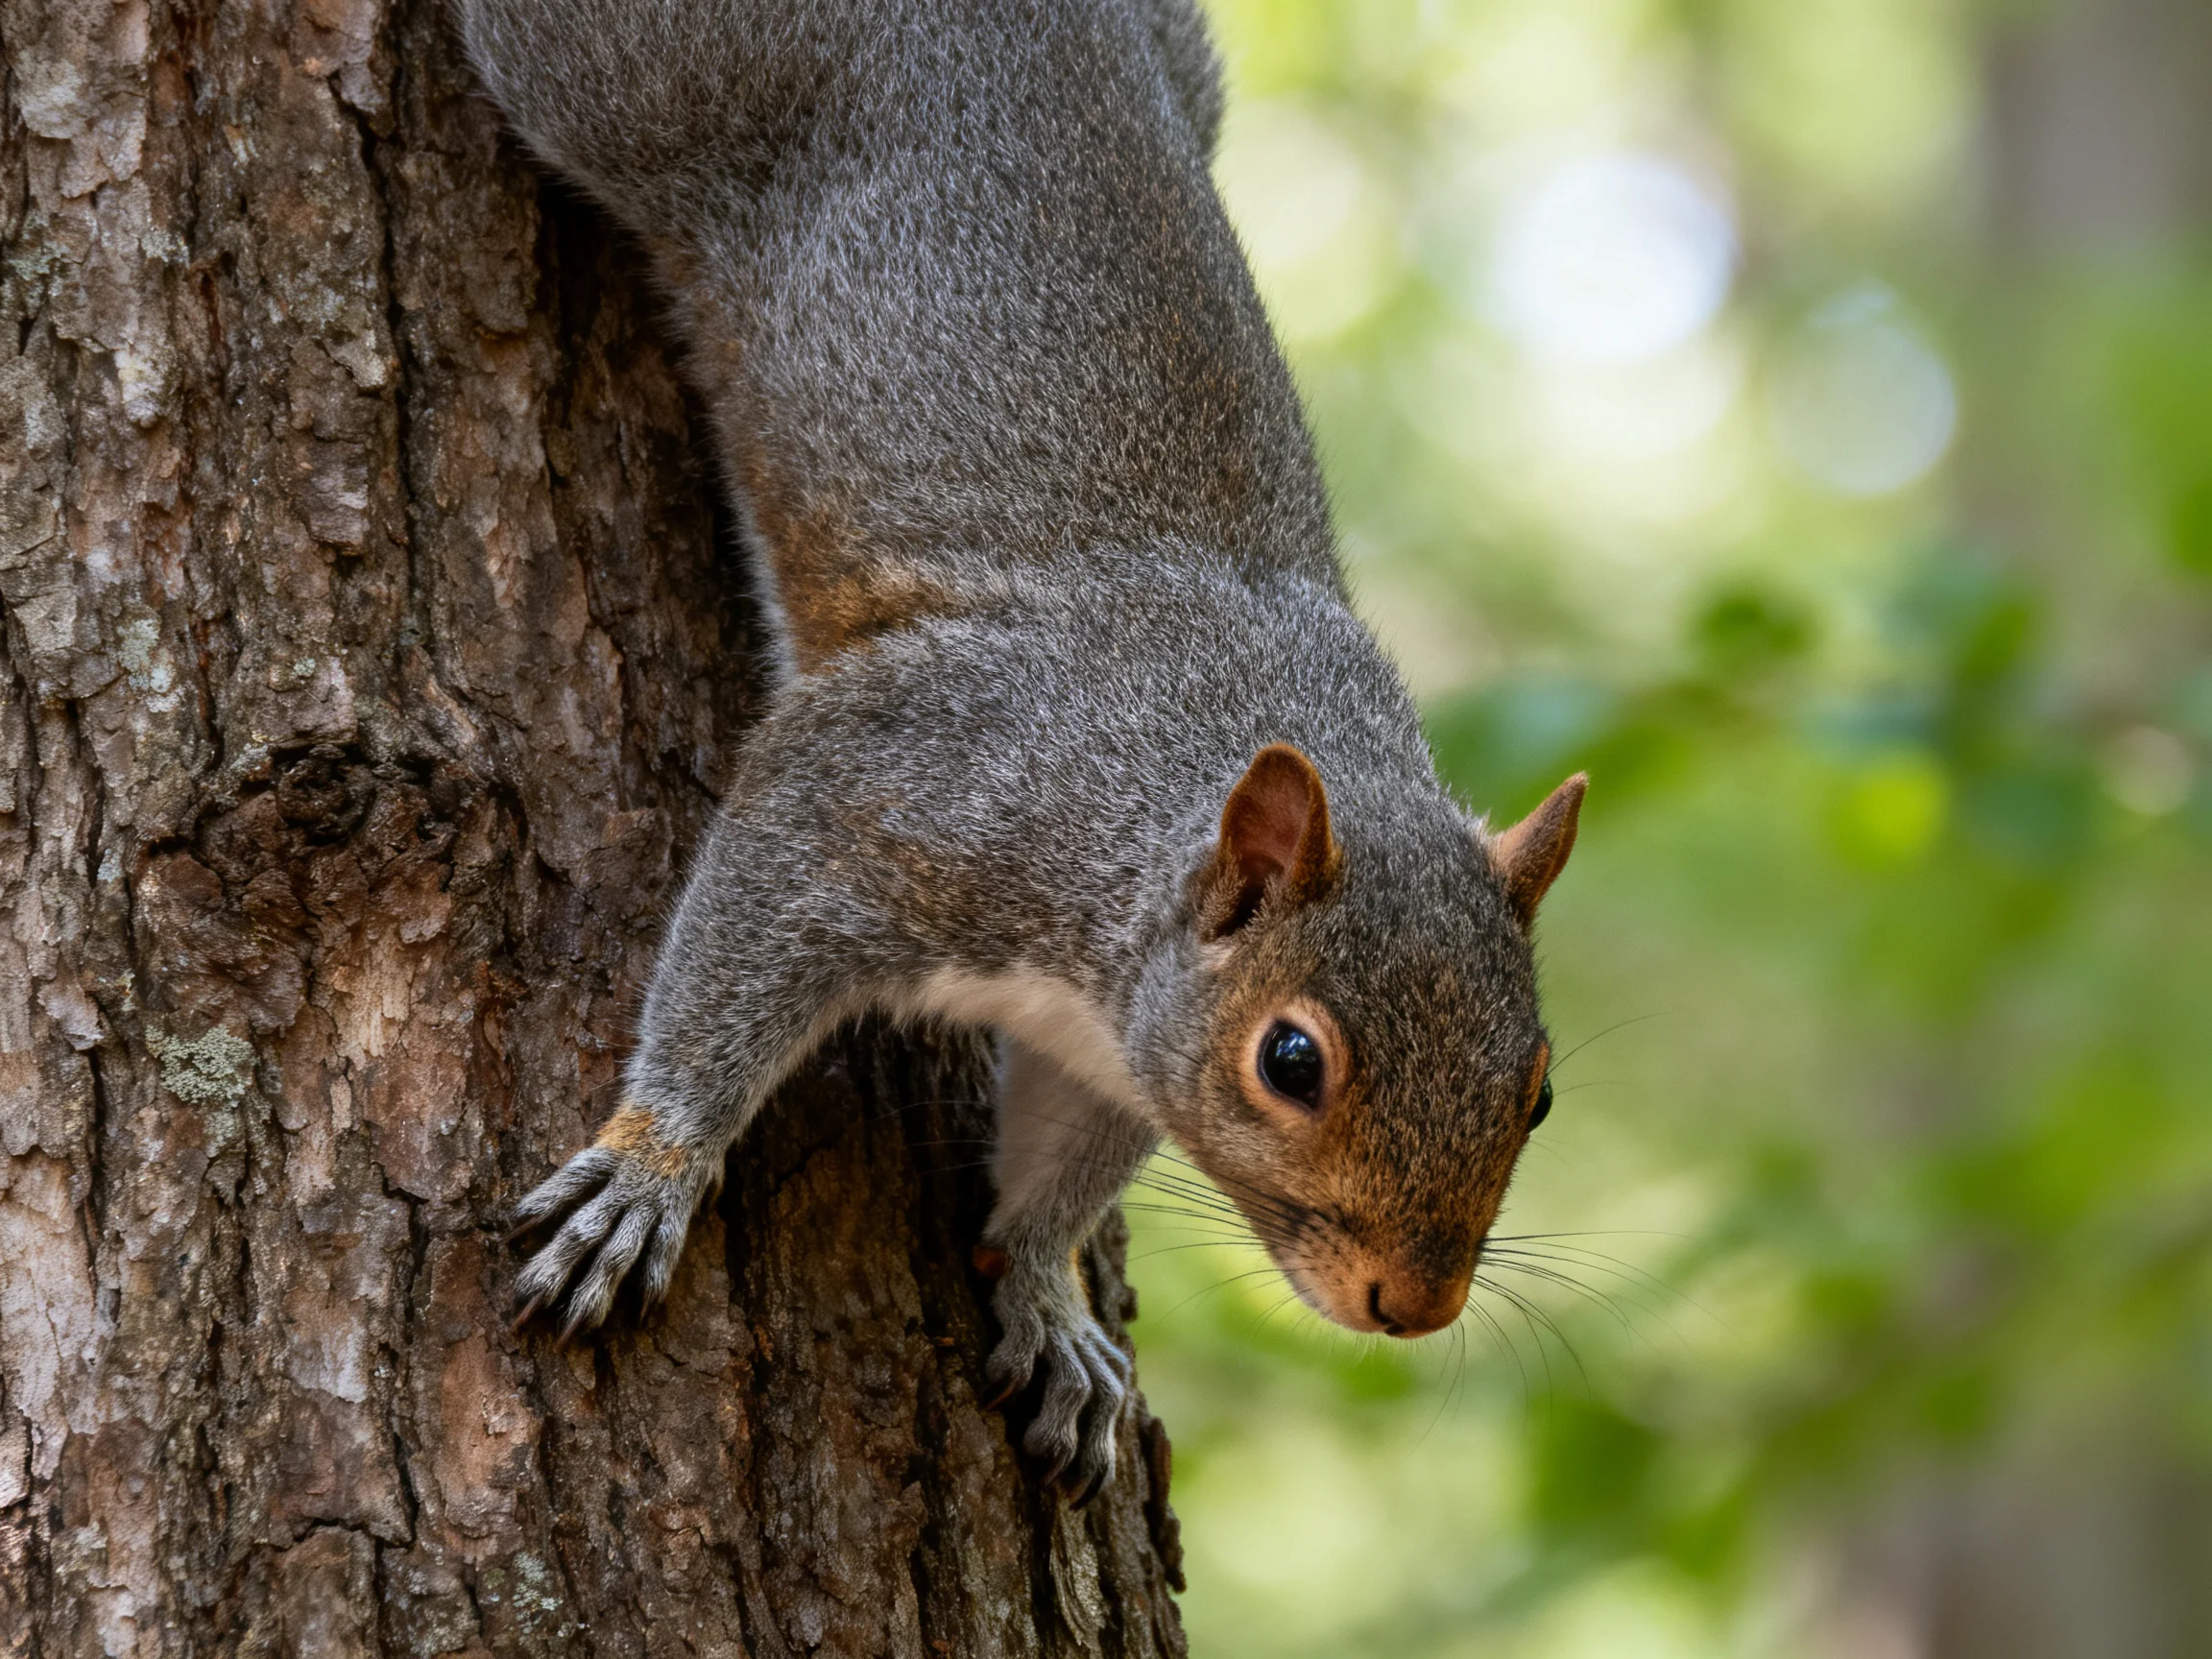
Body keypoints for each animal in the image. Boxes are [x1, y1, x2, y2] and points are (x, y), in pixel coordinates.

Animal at [463, 0, 1586, 1502]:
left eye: (1538, 1091)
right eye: (1292, 1062)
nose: (1416, 1305)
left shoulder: (1110, 1046)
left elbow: (1059, 1171)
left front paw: (1050, 1300)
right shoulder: (889, 786)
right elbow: (730, 955)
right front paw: (651, 1166)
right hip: (627, 76)